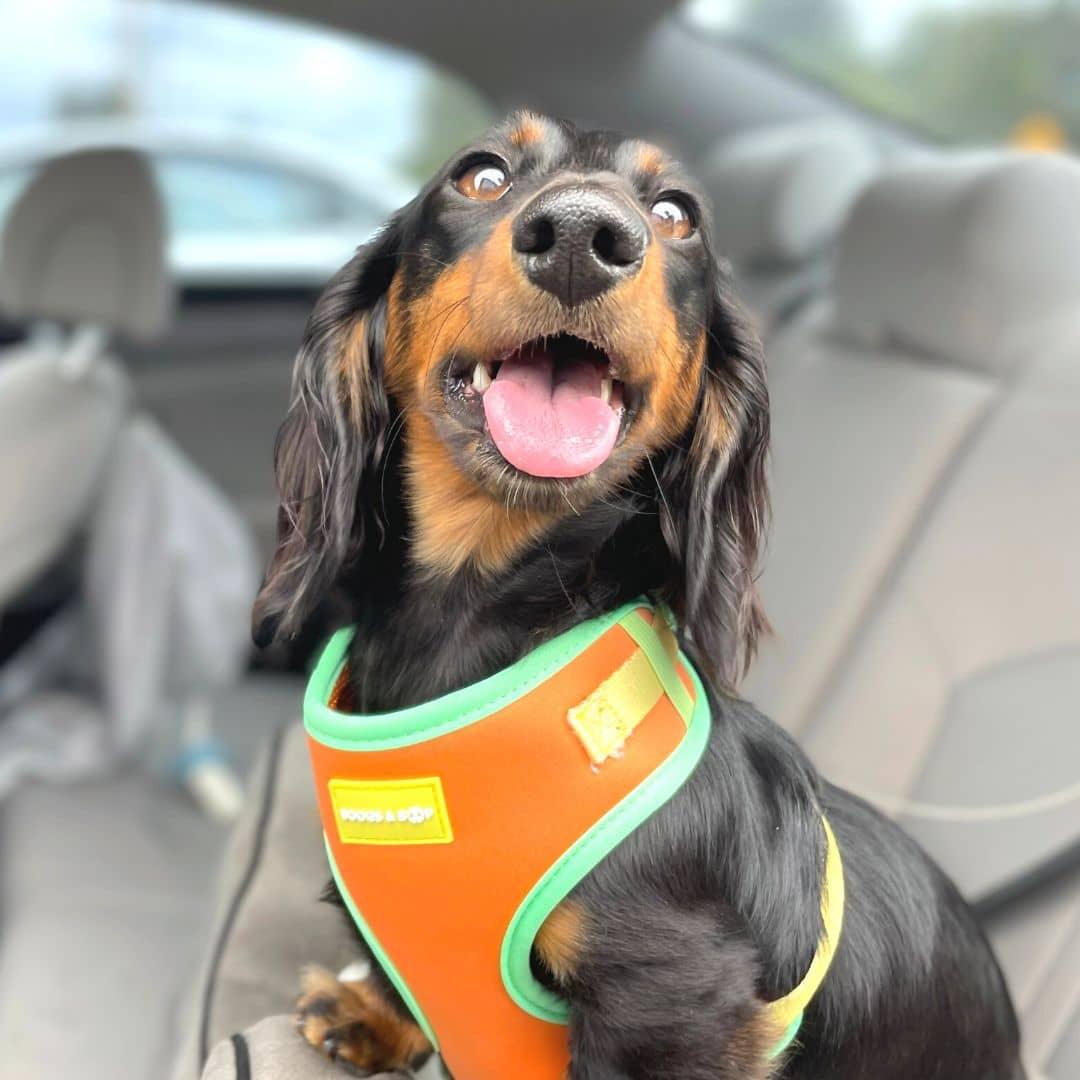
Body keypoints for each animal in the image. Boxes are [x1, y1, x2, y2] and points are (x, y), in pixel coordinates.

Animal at [252, 111, 1019, 1080]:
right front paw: (374, 1013)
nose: (584, 237)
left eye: (676, 213)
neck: (480, 619)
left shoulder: (672, 991)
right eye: (480, 175)